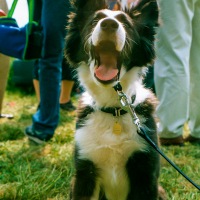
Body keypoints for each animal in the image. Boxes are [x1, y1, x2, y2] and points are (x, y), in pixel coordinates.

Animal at [65, 0, 164, 200]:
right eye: (95, 20)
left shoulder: (146, 172)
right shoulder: (85, 172)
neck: (114, 109)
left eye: (126, 24)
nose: (109, 24)